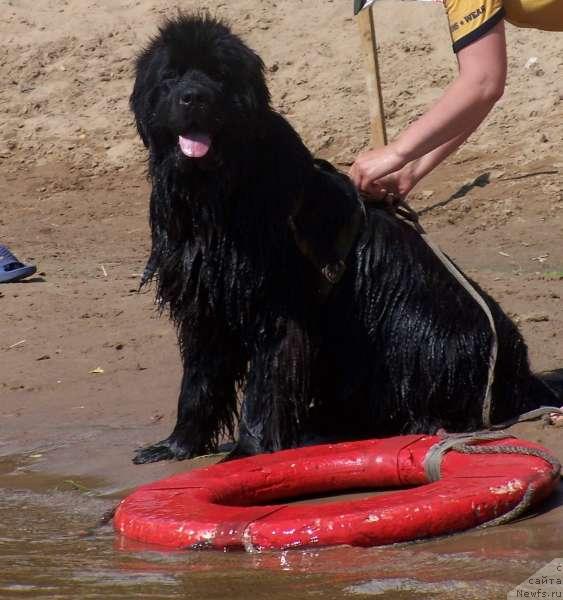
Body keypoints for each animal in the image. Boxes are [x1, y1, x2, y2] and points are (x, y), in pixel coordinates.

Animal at [131, 12, 560, 464]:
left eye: (218, 75)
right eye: (171, 76)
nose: (193, 97)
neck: (217, 193)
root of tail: (523, 373)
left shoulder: (277, 308)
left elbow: (263, 390)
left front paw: (248, 452)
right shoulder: (205, 304)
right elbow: (198, 383)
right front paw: (176, 445)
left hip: (418, 325)